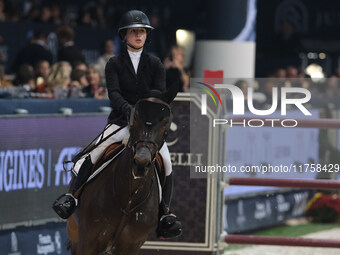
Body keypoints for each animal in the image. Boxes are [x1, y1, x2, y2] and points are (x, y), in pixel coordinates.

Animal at [66, 95, 174, 253]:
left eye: (165, 123)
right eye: (135, 118)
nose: (141, 162)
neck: (129, 199)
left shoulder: (131, 245)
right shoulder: (88, 241)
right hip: (74, 234)